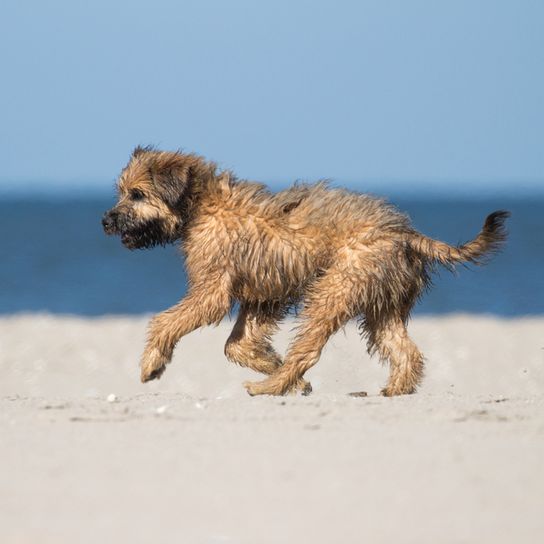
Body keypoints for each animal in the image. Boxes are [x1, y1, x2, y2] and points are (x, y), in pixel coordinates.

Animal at [103, 147, 510, 398]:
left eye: (137, 194)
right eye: (123, 192)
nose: (106, 220)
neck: (200, 205)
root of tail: (404, 233)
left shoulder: (213, 290)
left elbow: (166, 321)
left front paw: (152, 362)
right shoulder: (264, 295)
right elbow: (237, 345)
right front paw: (282, 372)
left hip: (334, 290)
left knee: (308, 350)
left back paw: (269, 387)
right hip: (382, 304)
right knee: (405, 349)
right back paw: (395, 389)